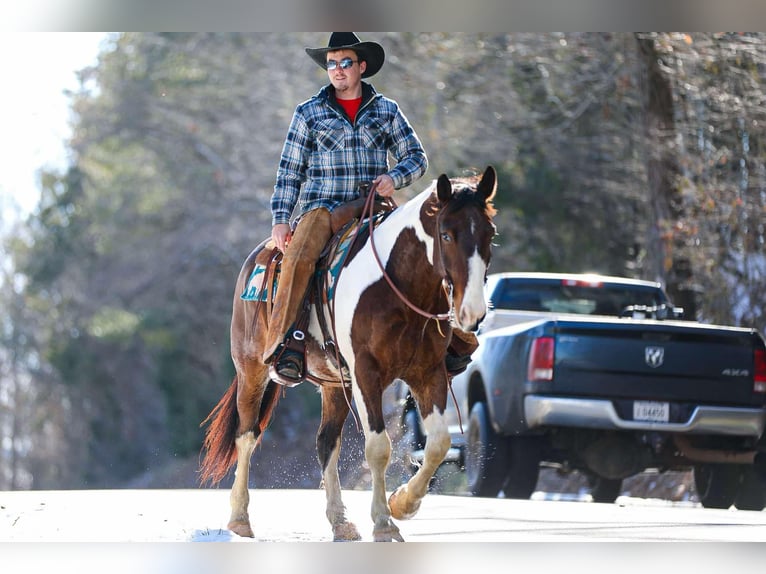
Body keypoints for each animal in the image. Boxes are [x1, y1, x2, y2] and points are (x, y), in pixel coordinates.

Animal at [200, 165, 498, 544]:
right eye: (445, 234)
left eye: (490, 233)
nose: (472, 312)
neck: (397, 288)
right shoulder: (366, 374)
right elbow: (379, 447)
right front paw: (384, 523)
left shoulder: (428, 373)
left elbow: (438, 443)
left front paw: (403, 504)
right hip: (251, 370)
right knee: (247, 435)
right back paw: (240, 519)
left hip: (332, 384)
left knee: (326, 442)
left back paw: (340, 521)